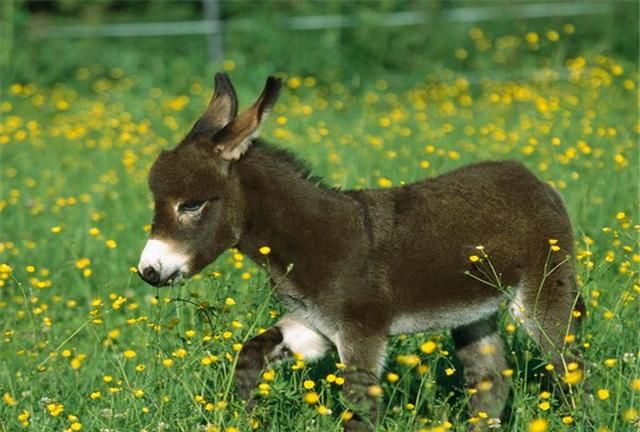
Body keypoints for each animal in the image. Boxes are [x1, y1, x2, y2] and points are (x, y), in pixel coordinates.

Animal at [138, 72, 584, 430]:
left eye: (191, 205)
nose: (149, 271)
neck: (308, 239)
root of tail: (533, 179)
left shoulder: (362, 332)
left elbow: (359, 410)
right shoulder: (313, 325)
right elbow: (249, 356)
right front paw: (247, 416)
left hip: (542, 292)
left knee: (569, 366)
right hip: (475, 311)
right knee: (490, 383)